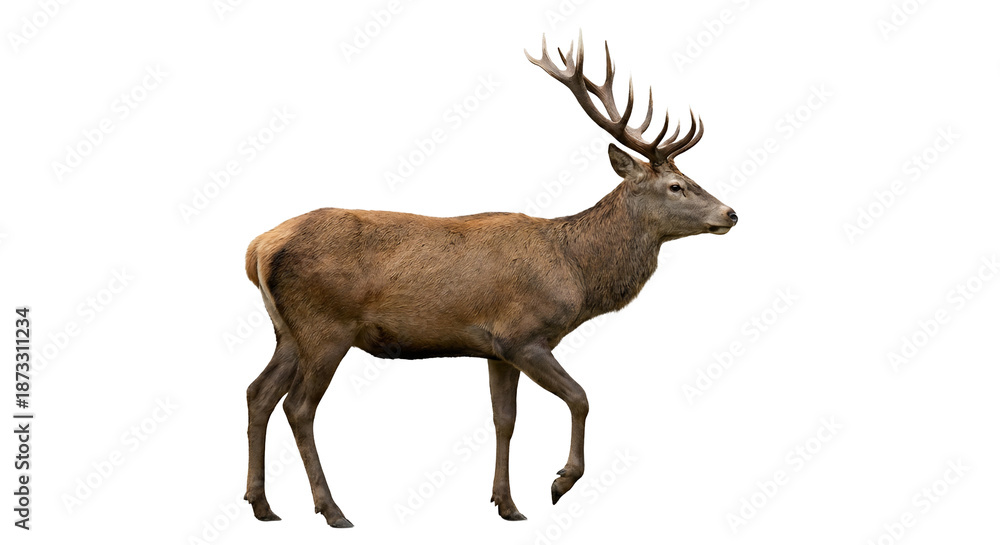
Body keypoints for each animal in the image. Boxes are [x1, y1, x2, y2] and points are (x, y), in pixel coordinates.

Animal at [242, 32, 738, 528]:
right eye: (676, 186)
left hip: (287, 331)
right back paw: (332, 509)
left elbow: (505, 420)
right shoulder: (523, 335)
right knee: (298, 407)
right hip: (326, 326)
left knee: (258, 393)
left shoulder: (496, 350)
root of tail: (258, 248)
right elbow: (580, 397)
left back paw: (262, 504)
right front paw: (560, 482)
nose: (731, 213)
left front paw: (507, 504)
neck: (576, 272)